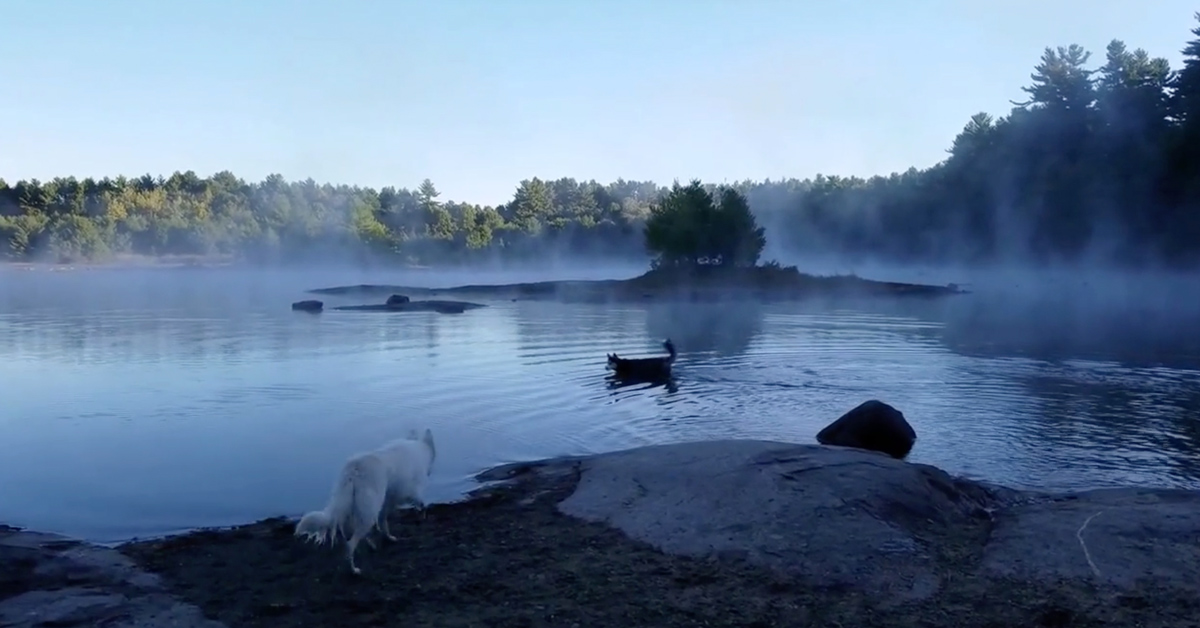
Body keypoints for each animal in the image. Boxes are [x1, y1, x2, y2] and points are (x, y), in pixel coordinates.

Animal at [294, 427, 436, 573]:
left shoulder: (387, 501)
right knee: (351, 545)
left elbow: (383, 521)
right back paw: (354, 569)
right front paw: (422, 512)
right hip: (369, 511)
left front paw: (388, 537)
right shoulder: (408, 492)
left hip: (361, 509)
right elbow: (420, 502)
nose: (430, 472)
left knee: (354, 534)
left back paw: (371, 546)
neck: (419, 448)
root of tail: (354, 468)